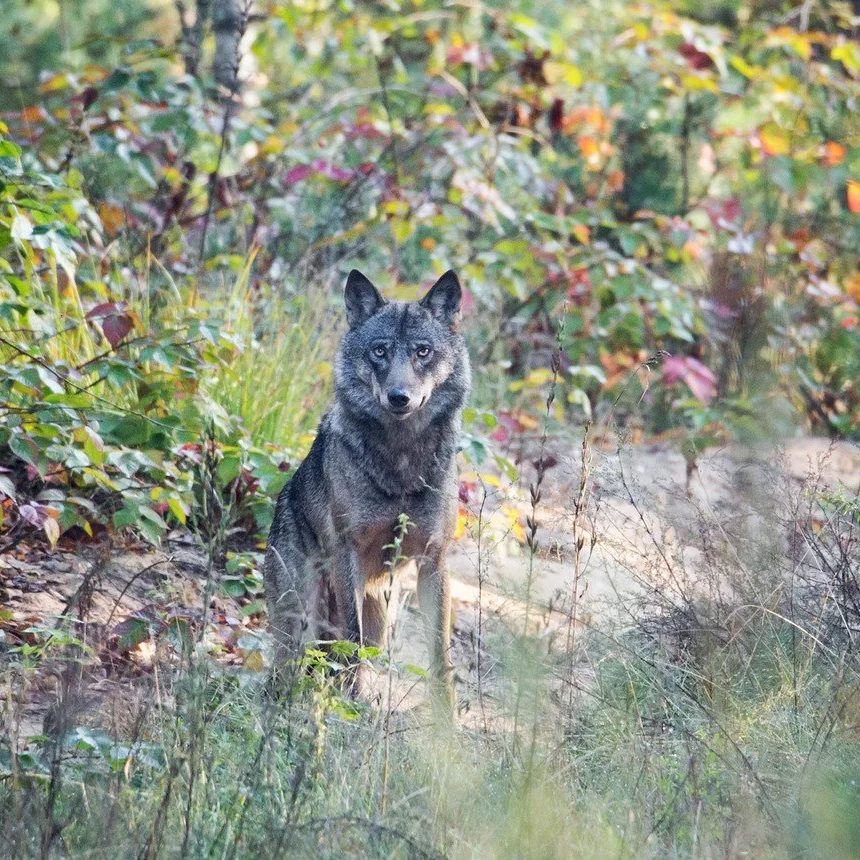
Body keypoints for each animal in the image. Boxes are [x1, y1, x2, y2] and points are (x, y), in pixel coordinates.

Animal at [264, 269, 470, 708]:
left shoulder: (434, 561)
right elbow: (351, 639)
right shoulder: (349, 553)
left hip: (381, 621)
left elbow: (439, 655)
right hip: (301, 616)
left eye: (423, 352)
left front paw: (446, 719)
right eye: (379, 351)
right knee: (293, 667)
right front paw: (351, 700)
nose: (399, 396)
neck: (401, 461)